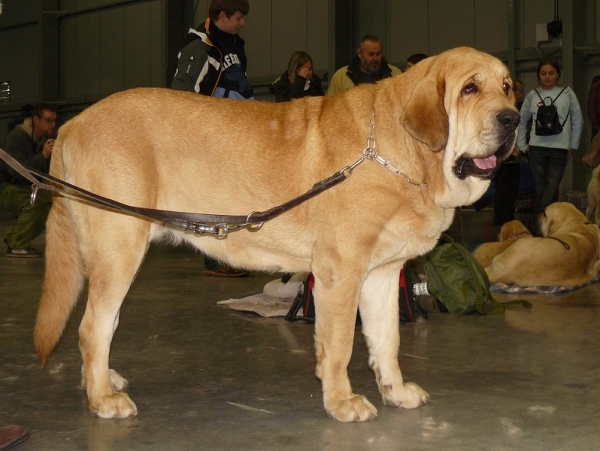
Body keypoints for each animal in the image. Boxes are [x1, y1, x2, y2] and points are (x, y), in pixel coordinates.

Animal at [34, 47, 520, 422]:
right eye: (469, 89)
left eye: (508, 86)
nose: (513, 120)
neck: (399, 153)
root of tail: (70, 124)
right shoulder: (339, 273)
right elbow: (339, 344)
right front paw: (342, 402)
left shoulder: (382, 276)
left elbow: (387, 343)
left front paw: (395, 392)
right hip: (120, 249)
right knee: (91, 327)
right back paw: (103, 399)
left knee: (103, 323)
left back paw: (102, 380)